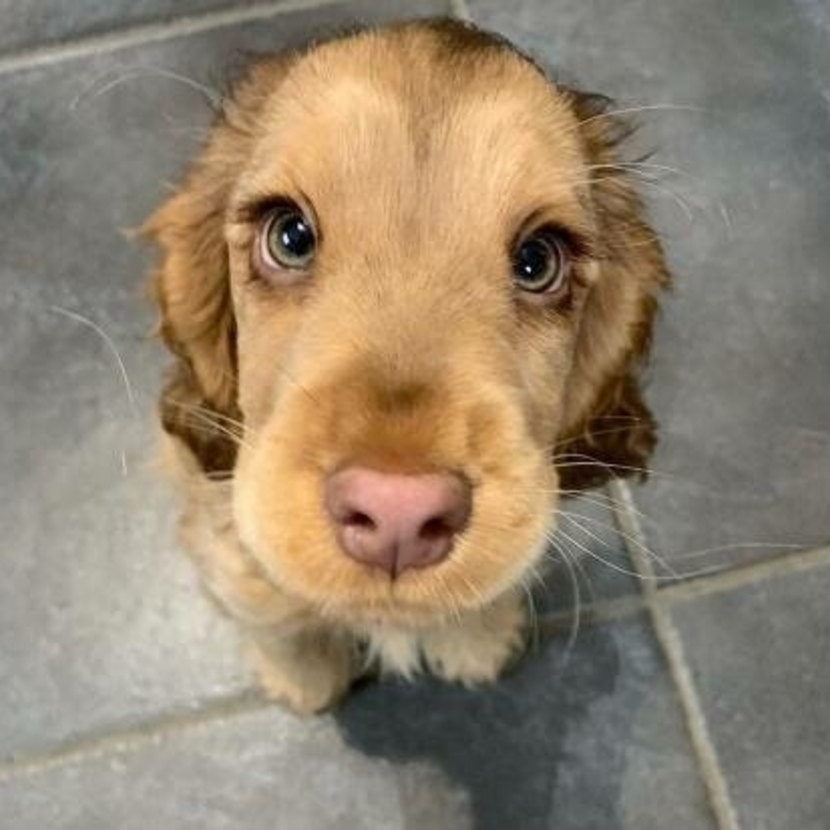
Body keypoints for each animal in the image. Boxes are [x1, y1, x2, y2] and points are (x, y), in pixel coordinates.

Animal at [144, 18, 669, 714]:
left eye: (538, 261)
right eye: (290, 236)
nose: (398, 513)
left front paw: (476, 643)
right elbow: (266, 603)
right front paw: (305, 680)